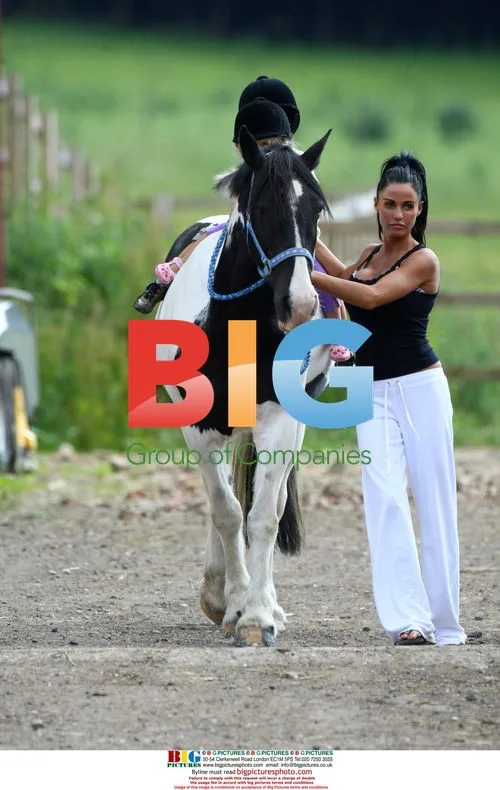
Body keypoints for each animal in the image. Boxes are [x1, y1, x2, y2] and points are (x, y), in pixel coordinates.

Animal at [156, 126, 333, 647]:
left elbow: (263, 515)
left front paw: (256, 616)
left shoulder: (278, 420)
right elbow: (226, 511)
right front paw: (229, 602)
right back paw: (221, 592)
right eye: (263, 209)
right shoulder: (199, 427)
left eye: (316, 209)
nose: (301, 305)